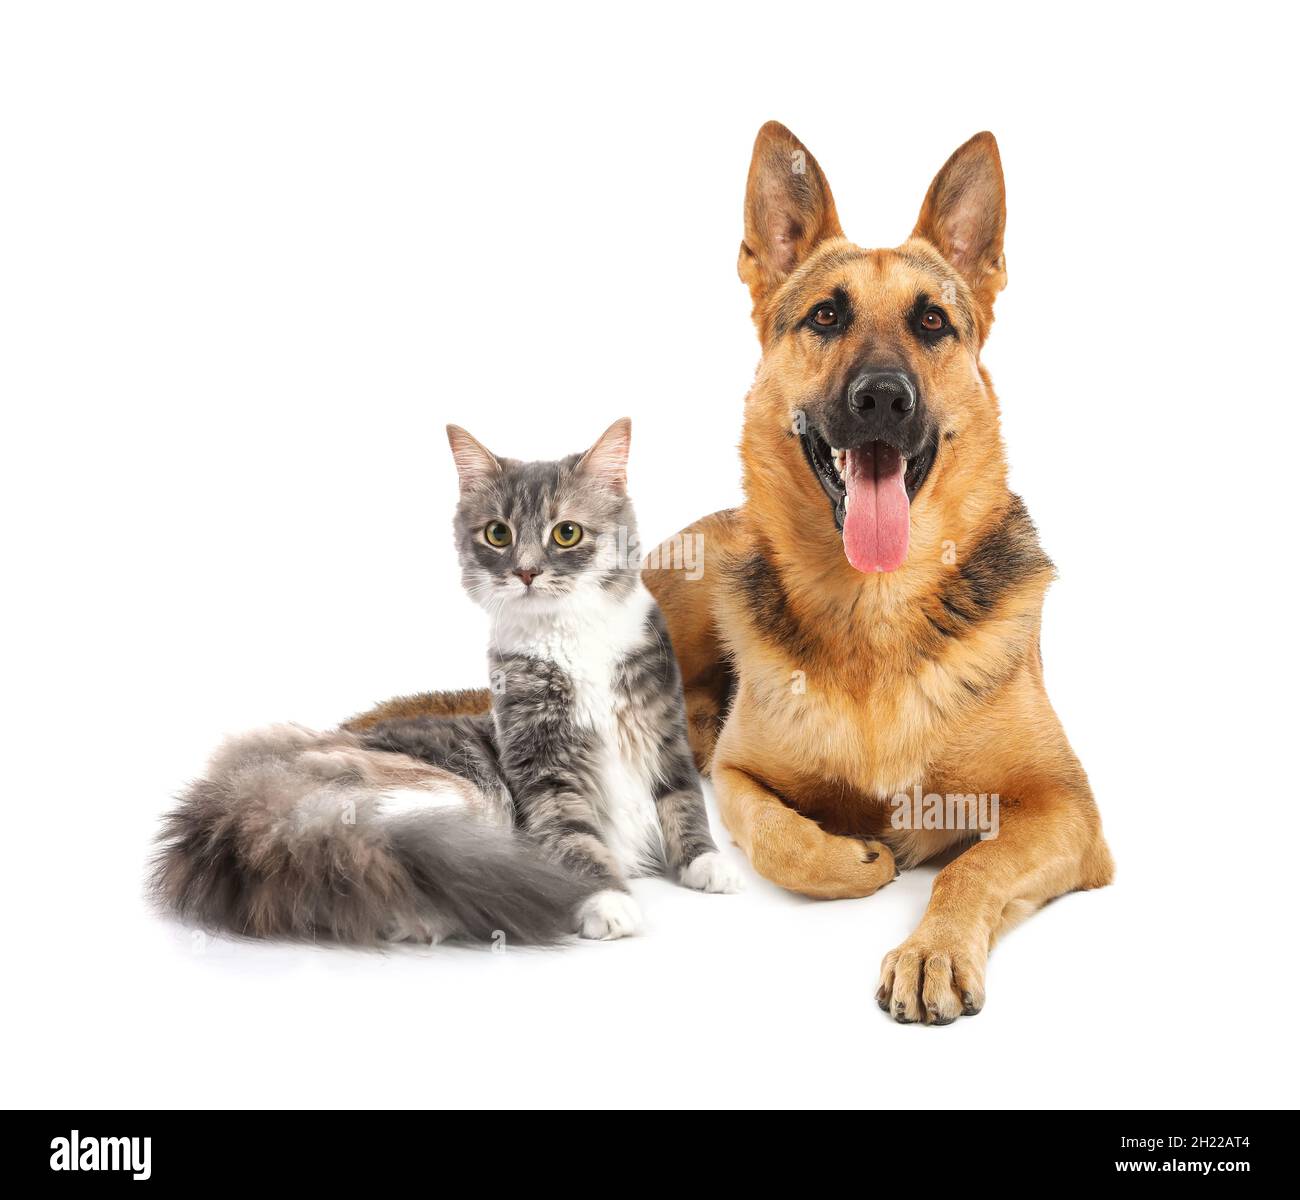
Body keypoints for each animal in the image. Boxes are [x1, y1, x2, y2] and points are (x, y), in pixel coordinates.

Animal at [149, 421, 743, 946]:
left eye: (566, 533)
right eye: (498, 534)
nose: (526, 572)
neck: (571, 633)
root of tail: (238, 797)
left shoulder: (664, 732)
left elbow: (684, 804)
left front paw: (709, 864)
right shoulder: (544, 764)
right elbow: (575, 835)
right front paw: (607, 901)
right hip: (441, 800)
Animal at [644, 119, 1112, 1024]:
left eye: (932, 322)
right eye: (826, 315)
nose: (884, 399)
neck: (877, 609)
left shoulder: (1067, 809)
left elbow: (973, 864)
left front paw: (932, 949)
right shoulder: (739, 775)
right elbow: (776, 835)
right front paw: (852, 857)